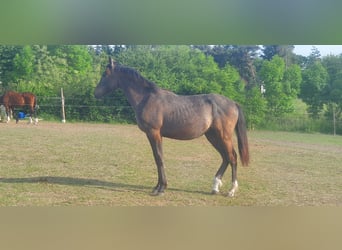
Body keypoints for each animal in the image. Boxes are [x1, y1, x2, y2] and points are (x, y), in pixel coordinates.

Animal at [95, 58, 250, 197]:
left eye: (105, 74)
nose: (95, 92)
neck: (147, 98)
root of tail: (233, 103)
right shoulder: (152, 135)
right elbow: (157, 158)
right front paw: (157, 187)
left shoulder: (154, 133)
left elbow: (159, 158)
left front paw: (161, 188)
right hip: (212, 136)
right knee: (225, 158)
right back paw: (215, 187)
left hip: (223, 136)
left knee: (232, 157)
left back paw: (231, 191)